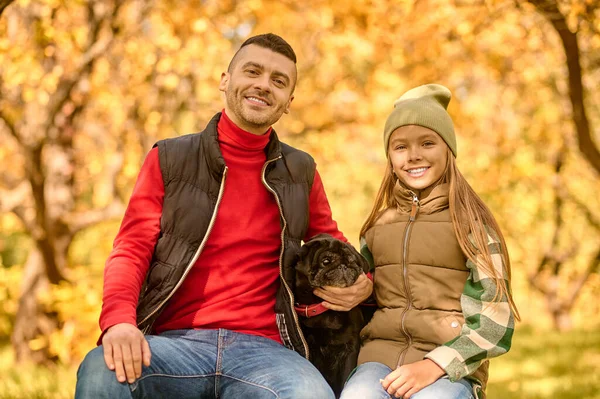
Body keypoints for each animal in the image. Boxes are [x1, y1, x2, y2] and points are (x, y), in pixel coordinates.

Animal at [294, 234, 370, 396]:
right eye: (326, 261)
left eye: (352, 261)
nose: (343, 266)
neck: (323, 307)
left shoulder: (349, 350)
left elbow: (344, 380)